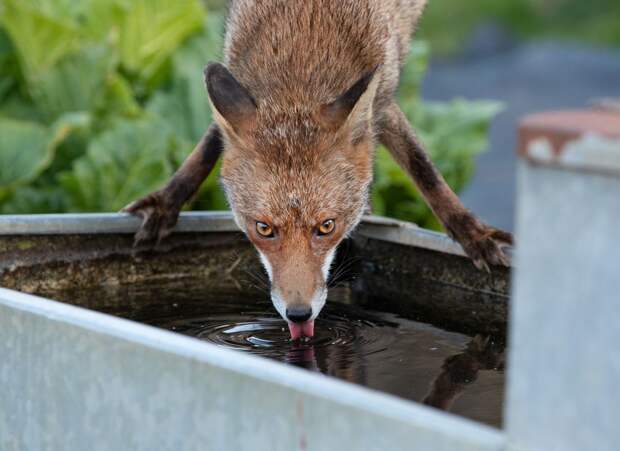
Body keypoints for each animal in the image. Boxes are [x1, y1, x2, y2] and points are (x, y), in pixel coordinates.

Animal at [122, 0, 512, 340]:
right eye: (263, 229)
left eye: (326, 226)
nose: (298, 315)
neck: (302, 46)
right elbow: (208, 145)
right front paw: (165, 203)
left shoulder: (383, 99)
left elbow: (422, 167)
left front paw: (474, 234)